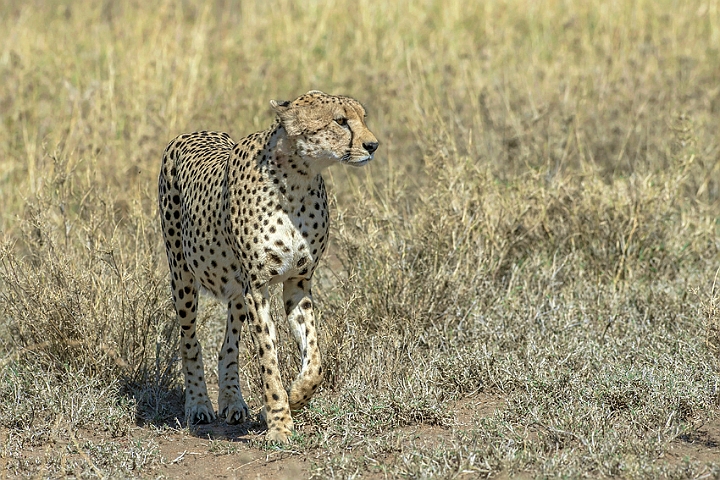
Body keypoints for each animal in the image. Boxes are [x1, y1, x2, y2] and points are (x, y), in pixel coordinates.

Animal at [157, 89, 380, 442]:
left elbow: (315, 360)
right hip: (182, 274)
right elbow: (268, 359)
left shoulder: (298, 283)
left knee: (228, 346)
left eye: (362, 117)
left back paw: (232, 401)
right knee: (189, 339)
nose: (372, 145)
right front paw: (279, 422)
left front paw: (297, 396)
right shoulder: (258, 288)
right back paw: (199, 404)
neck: (297, 179)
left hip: (236, 289)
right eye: (340, 121)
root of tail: (193, 132)